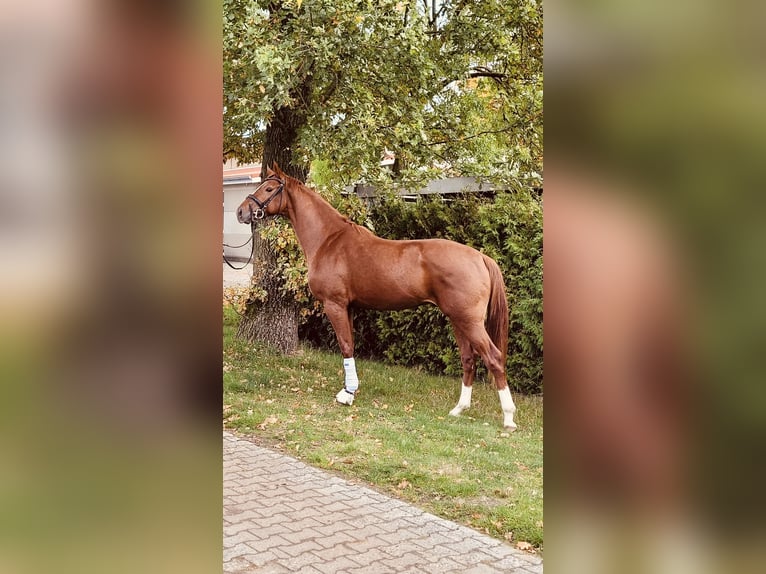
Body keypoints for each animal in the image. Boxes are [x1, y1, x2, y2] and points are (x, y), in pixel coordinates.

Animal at [237, 164, 520, 430]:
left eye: (269, 189)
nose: (241, 212)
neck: (329, 240)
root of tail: (480, 257)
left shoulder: (335, 305)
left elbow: (345, 346)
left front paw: (347, 394)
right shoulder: (349, 307)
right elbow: (350, 345)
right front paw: (351, 390)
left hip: (469, 321)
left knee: (494, 357)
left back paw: (508, 417)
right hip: (458, 320)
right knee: (469, 359)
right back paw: (459, 409)